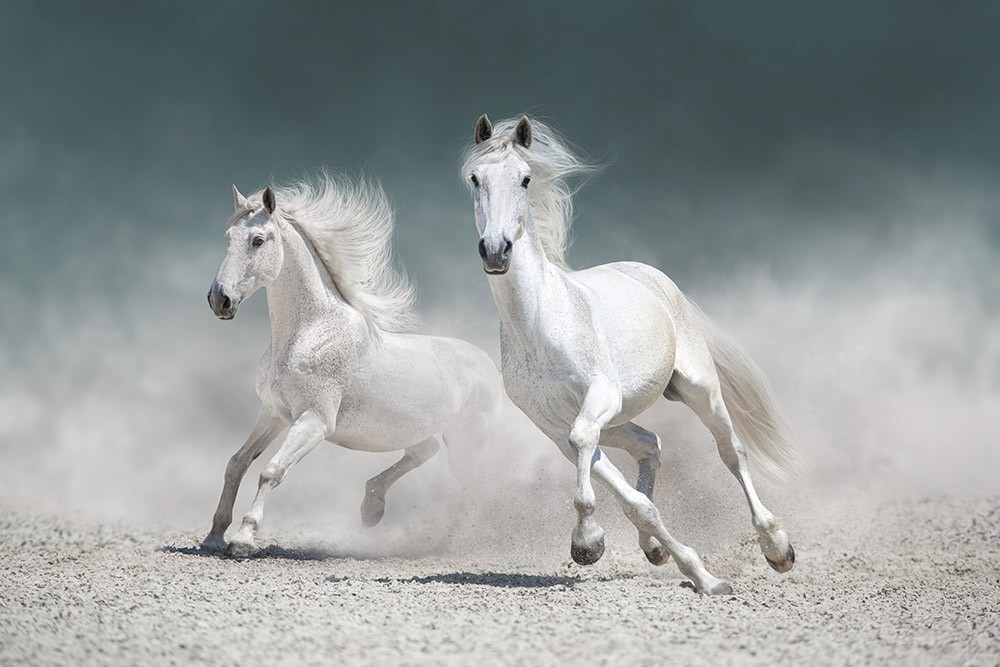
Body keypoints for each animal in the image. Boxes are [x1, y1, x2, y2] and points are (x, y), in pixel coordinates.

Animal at [202, 172, 500, 560]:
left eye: (258, 240)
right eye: (227, 239)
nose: (219, 299)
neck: (308, 332)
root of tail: (489, 364)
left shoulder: (314, 420)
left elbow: (272, 471)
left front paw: (242, 540)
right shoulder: (272, 413)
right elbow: (236, 463)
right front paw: (213, 536)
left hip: (467, 441)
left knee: (472, 487)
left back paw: (446, 545)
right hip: (415, 430)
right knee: (424, 451)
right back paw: (372, 507)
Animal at [464, 115, 800, 596]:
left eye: (525, 179)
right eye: (475, 178)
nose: (496, 250)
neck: (539, 328)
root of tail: (651, 275)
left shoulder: (600, 397)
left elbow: (587, 443)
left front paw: (588, 541)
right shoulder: (552, 426)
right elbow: (635, 501)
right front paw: (690, 571)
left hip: (698, 390)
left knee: (732, 452)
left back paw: (777, 548)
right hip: (621, 422)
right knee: (650, 444)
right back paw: (655, 547)